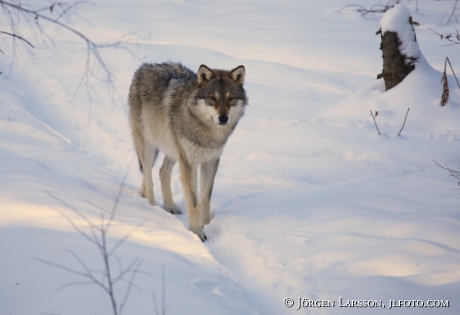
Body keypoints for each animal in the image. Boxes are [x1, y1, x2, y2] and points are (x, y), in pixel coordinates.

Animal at [126, 62, 248, 242]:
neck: (208, 134)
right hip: (149, 148)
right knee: (147, 182)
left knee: (162, 172)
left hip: (174, 151)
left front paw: (208, 224)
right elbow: (194, 201)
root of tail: (144, 66)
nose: (223, 118)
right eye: (212, 98)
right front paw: (198, 231)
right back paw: (154, 211)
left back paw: (170, 206)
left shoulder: (210, 161)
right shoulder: (189, 164)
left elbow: (205, 197)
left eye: (230, 98)